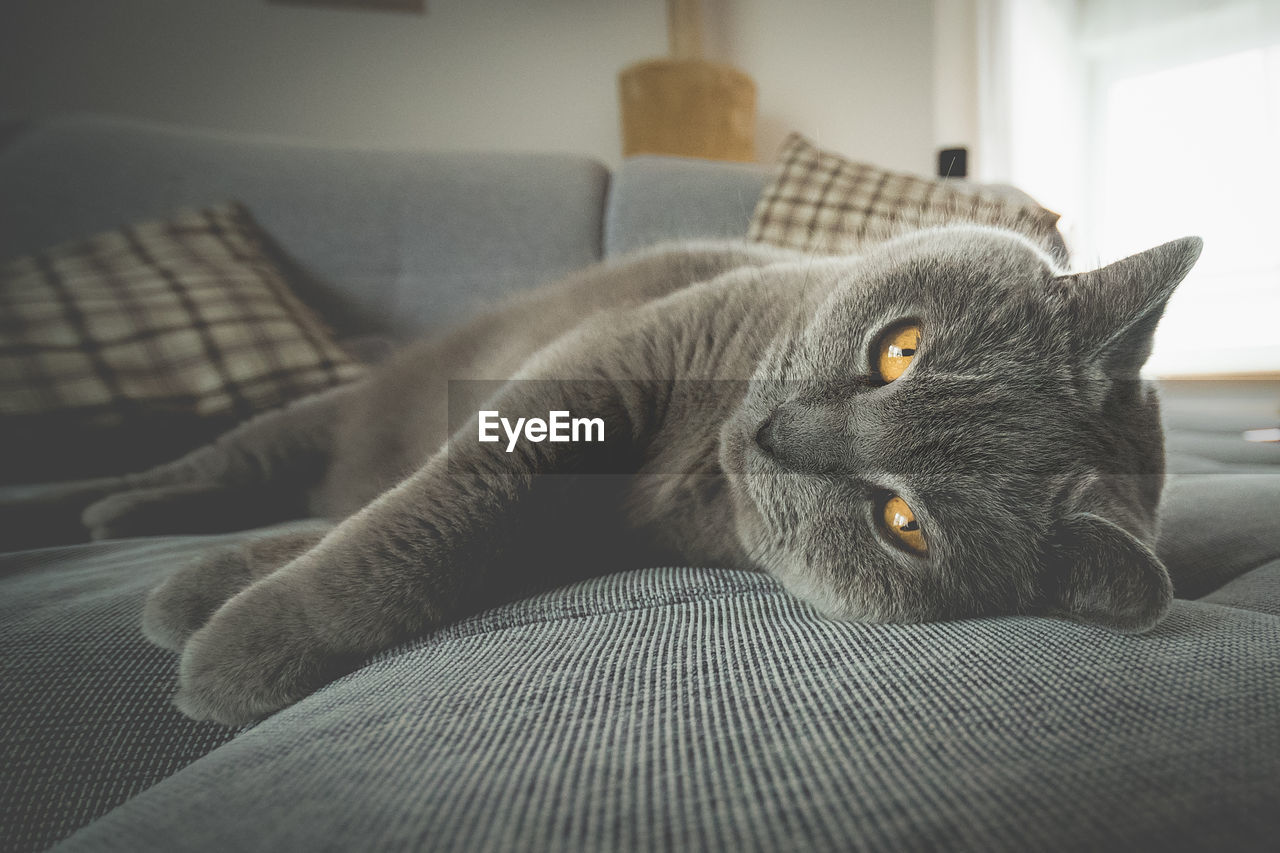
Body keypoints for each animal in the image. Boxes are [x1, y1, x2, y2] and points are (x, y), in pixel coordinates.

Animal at [62, 224, 1198, 722]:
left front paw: (221, 626)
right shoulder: (602, 362)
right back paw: (111, 507)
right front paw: (224, 621)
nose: (783, 436)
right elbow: (425, 516)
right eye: (899, 348)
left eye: (902, 521)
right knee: (244, 452)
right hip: (323, 415)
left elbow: (415, 539)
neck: (700, 483)